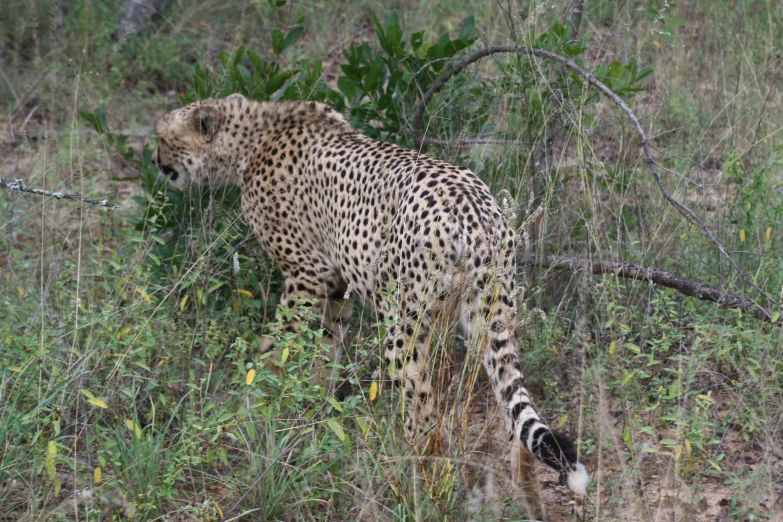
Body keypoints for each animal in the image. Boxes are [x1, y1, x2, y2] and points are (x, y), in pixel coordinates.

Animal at [153, 93, 588, 512]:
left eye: (161, 136)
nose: (156, 162)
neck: (251, 137)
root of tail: (474, 206)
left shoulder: (307, 273)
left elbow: (280, 347)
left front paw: (257, 401)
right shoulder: (335, 283)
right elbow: (324, 348)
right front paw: (312, 412)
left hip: (404, 325)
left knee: (426, 418)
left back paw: (419, 487)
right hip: (489, 313)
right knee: (512, 413)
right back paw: (527, 499)